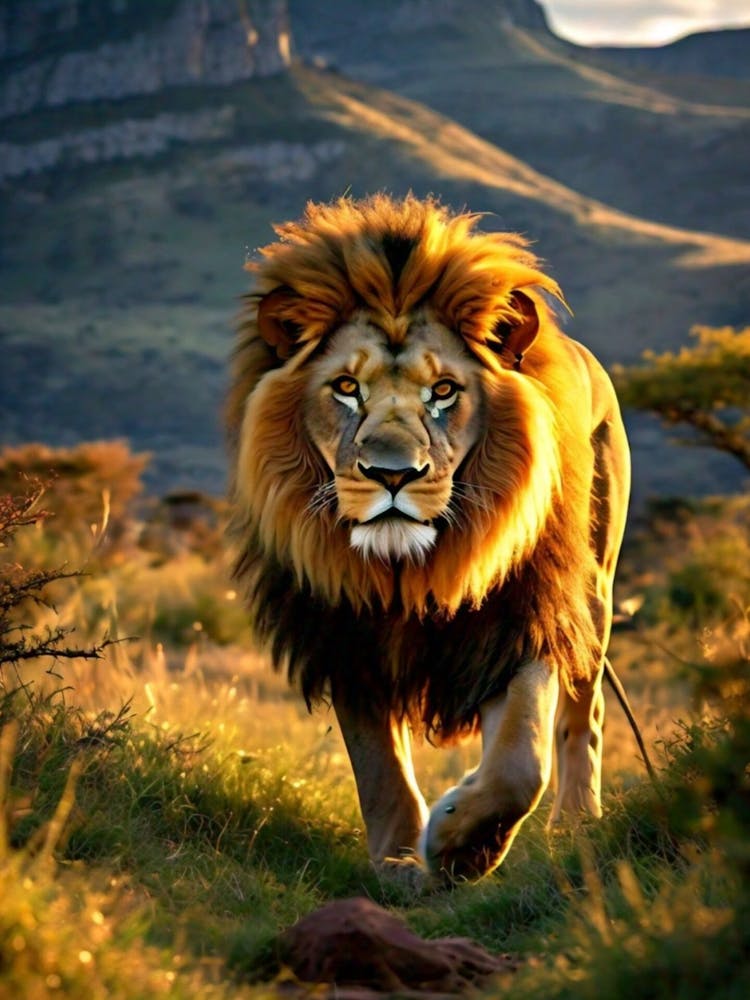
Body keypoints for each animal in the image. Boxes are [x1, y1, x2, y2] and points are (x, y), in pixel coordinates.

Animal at [226, 194, 630, 881]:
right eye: (346, 388)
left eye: (443, 391)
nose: (393, 473)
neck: (409, 571)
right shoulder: (346, 635)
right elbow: (379, 767)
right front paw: (396, 863)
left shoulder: (519, 620)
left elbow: (520, 763)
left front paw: (461, 846)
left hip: (595, 591)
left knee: (585, 716)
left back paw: (578, 824)